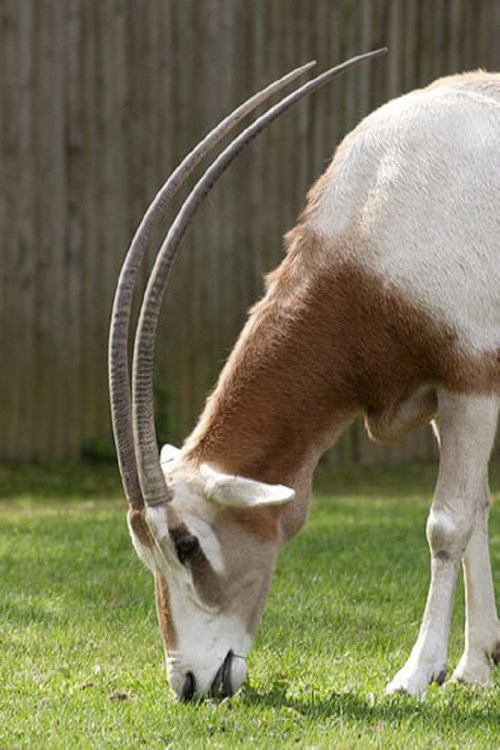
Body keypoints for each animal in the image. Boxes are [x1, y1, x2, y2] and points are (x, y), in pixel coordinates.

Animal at [109, 49, 500, 701]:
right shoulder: (442, 396)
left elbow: (446, 524)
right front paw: (475, 666)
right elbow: (478, 512)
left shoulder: (473, 380)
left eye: (186, 545)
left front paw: (416, 675)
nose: (188, 683)